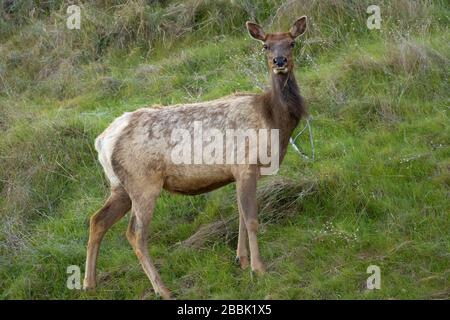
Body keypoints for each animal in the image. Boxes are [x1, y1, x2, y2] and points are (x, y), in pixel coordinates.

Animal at [83, 16, 310, 298]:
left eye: (292, 42)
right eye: (265, 46)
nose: (280, 61)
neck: (272, 120)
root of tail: (103, 141)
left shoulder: (237, 172)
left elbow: (240, 216)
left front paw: (241, 260)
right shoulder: (245, 164)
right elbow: (251, 219)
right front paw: (259, 269)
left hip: (119, 186)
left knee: (97, 220)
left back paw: (89, 284)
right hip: (143, 182)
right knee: (135, 233)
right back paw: (162, 289)